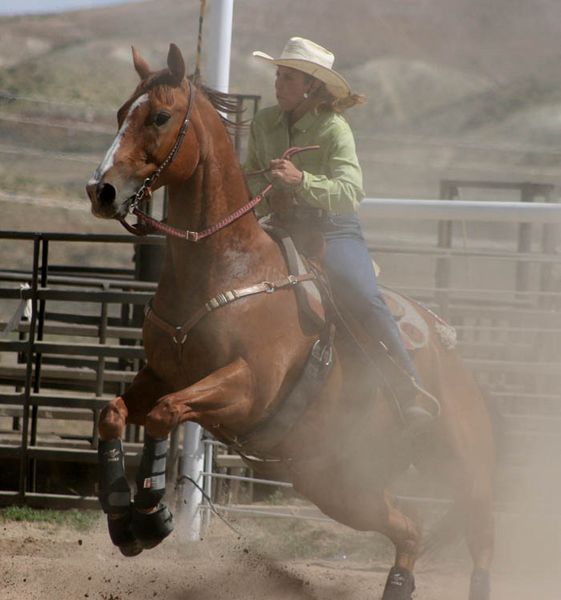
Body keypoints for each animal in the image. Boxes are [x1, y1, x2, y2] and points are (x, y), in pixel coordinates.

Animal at [85, 43, 492, 600]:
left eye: (160, 116)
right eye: (122, 112)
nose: (100, 191)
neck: (225, 265)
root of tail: (449, 346)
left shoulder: (249, 386)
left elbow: (166, 413)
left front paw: (151, 516)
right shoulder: (163, 372)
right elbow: (113, 413)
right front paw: (123, 519)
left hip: (459, 459)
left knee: (479, 530)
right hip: (339, 485)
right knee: (410, 529)